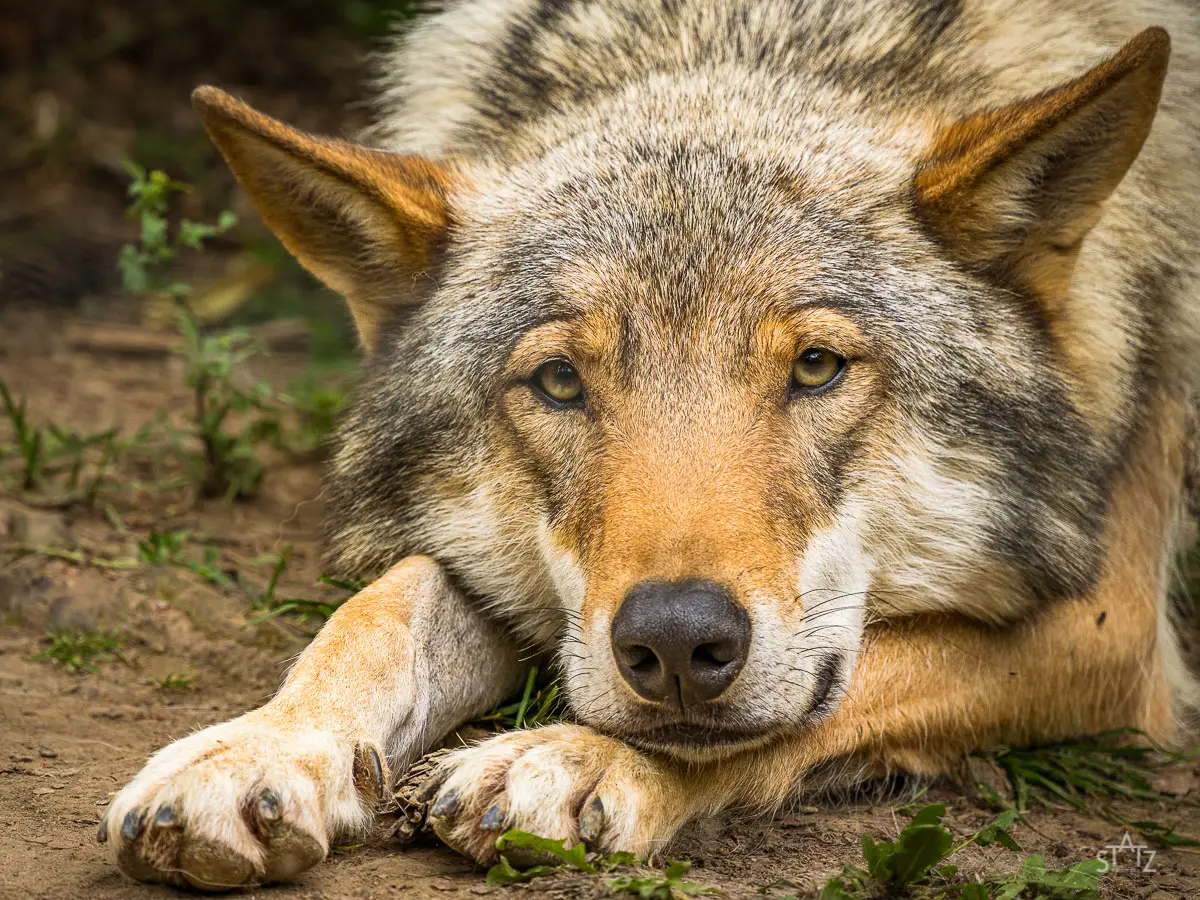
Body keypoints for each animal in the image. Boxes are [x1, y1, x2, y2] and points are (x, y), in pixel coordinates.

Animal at [100, 0, 1200, 889]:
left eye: (815, 367)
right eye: (559, 382)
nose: (675, 640)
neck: (746, 34)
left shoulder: (1109, 628)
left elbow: (842, 690)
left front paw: (574, 758)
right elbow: (379, 609)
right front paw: (255, 751)